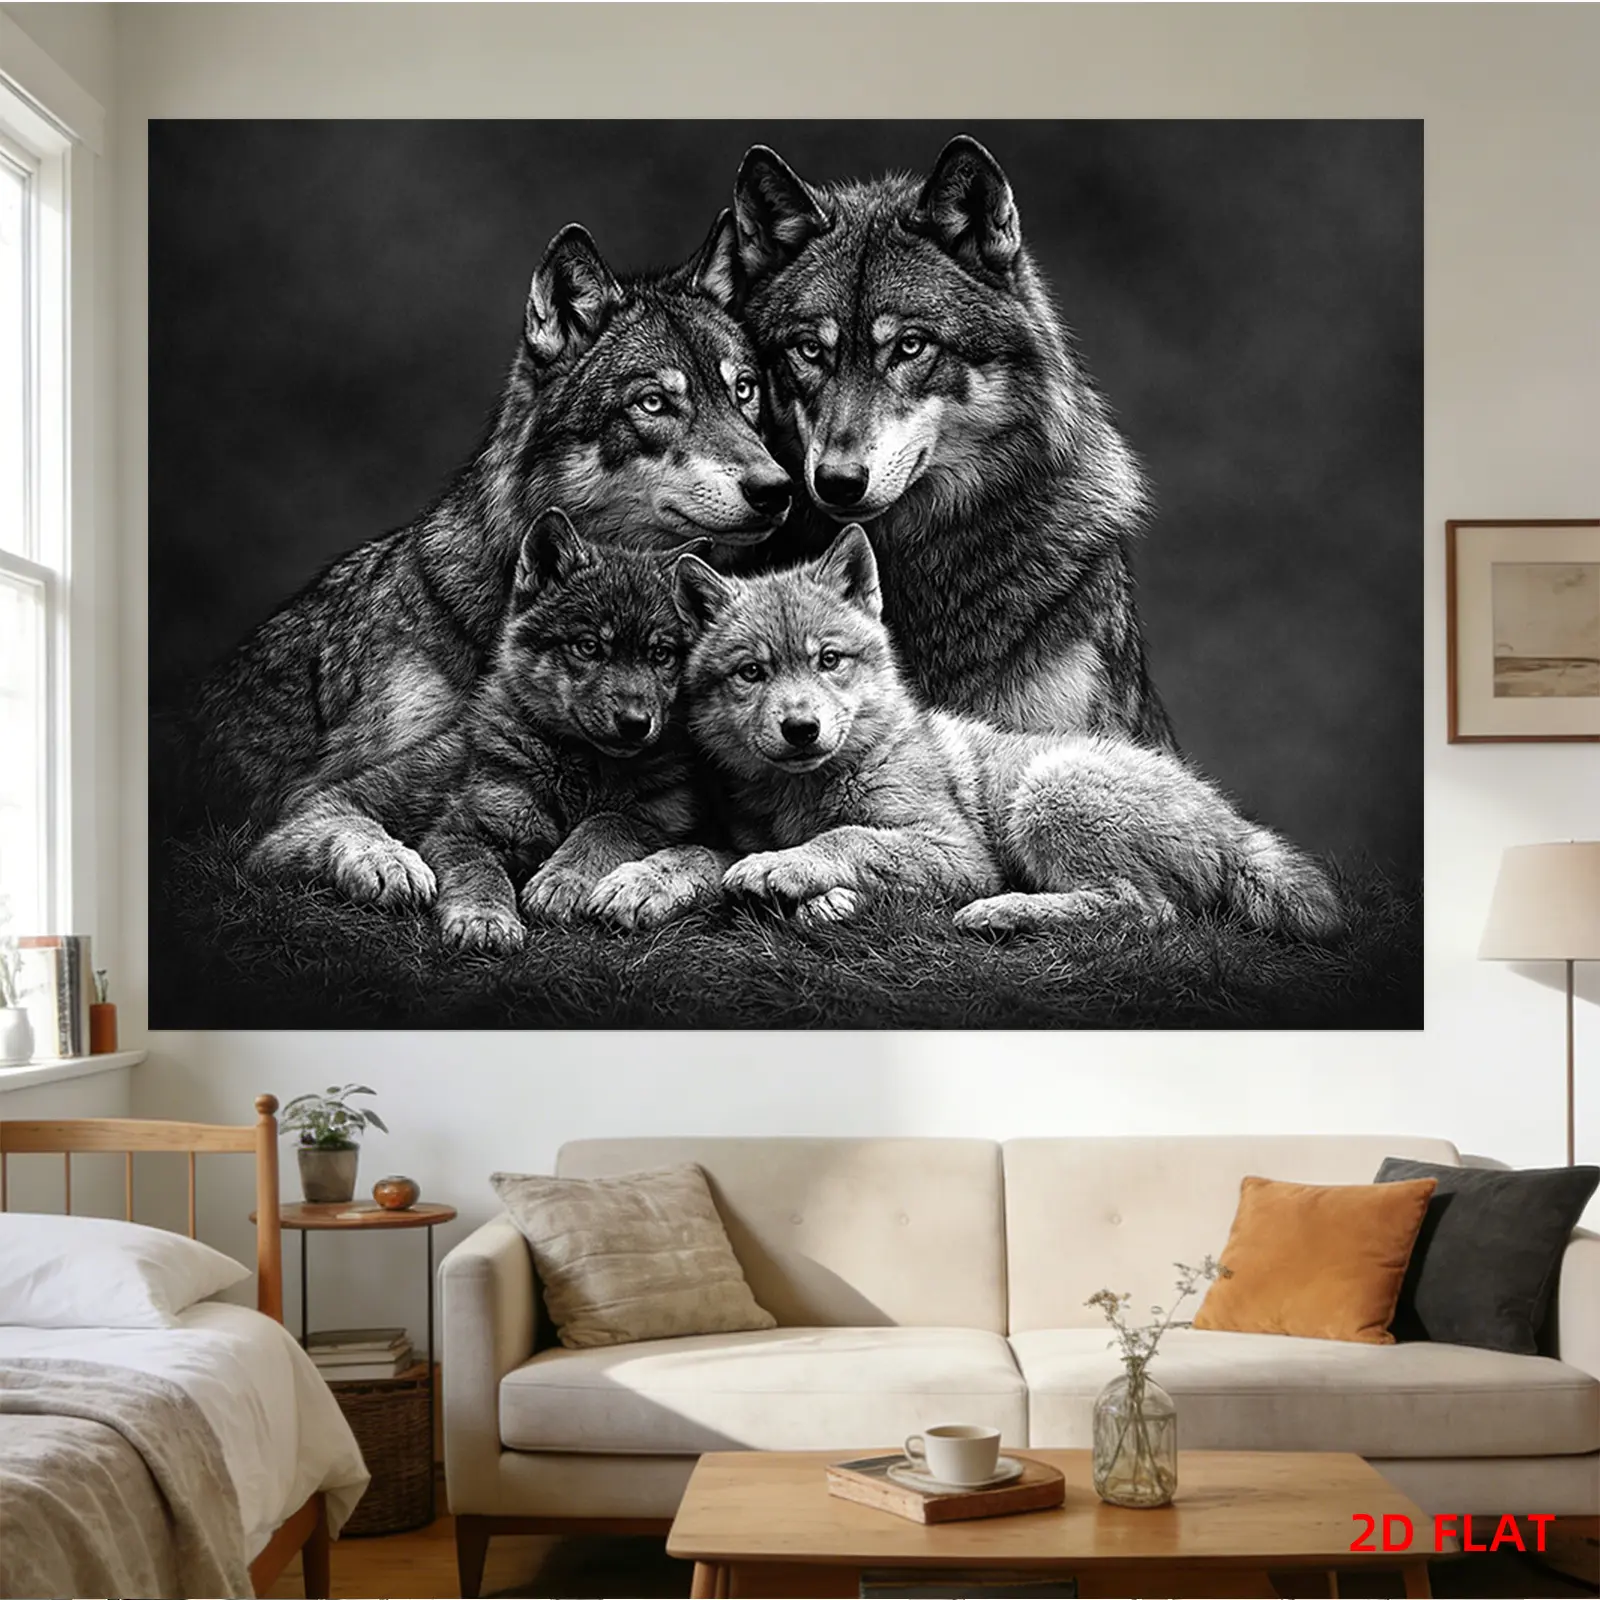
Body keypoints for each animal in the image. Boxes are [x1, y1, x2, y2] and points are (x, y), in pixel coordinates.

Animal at [417, 509, 710, 952]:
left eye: (661, 654)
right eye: (588, 646)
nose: (635, 723)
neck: (586, 774)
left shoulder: (659, 821)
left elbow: (606, 825)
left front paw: (562, 880)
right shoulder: (459, 831)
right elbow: (480, 871)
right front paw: (484, 918)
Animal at [642, 526, 1341, 940]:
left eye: (829, 660)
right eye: (751, 672)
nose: (801, 729)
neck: (810, 791)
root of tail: (1231, 824)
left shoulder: (959, 852)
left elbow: (850, 838)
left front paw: (783, 869)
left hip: (1047, 794)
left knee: (1144, 910)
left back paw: (1003, 912)